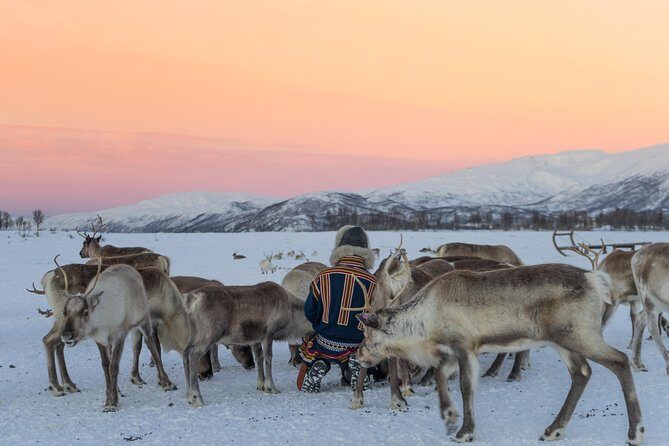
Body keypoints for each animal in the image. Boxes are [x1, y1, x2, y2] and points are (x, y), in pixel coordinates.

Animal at [59, 262, 174, 411]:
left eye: (85, 312)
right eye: (64, 312)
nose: (66, 336)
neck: (102, 318)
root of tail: (128, 267)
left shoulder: (119, 335)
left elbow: (113, 367)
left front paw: (112, 402)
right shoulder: (100, 340)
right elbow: (105, 366)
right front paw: (110, 395)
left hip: (143, 320)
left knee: (150, 344)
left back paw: (166, 382)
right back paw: (119, 388)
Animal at [180, 282, 313, 406]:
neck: (292, 313)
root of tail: (191, 300)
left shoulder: (256, 339)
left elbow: (259, 359)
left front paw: (261, 385)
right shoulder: (268, 333)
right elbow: (268, 359)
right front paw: (271, 387)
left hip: (191, 336)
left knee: (185, 355)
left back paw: (188, 396)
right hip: (209, 334)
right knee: (193, 355)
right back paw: (197, 398)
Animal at [355, 263, 644, 445]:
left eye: (367, 335)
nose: (358, 355)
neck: (424, 323)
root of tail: (595, 281)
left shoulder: (463, 346)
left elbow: (465, 387)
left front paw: (463, 431)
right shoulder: (454, 352)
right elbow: (440, 377)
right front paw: (450, 417)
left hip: (580, 335)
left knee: (620, 360)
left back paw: (635, 432)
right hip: (563, 341)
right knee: (582, 372)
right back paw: (554, 430)